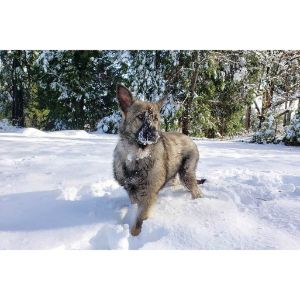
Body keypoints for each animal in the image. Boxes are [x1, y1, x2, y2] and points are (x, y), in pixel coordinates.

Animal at [113, 84, 204, 237]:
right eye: (140, 116)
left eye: (155, 119)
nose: (155, 135)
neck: (137, 155)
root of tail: (189, 137)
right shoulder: (132, 192)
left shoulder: (148, 195)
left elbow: (139, 221)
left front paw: (135, 235)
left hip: (187, 173)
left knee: (196, 190)